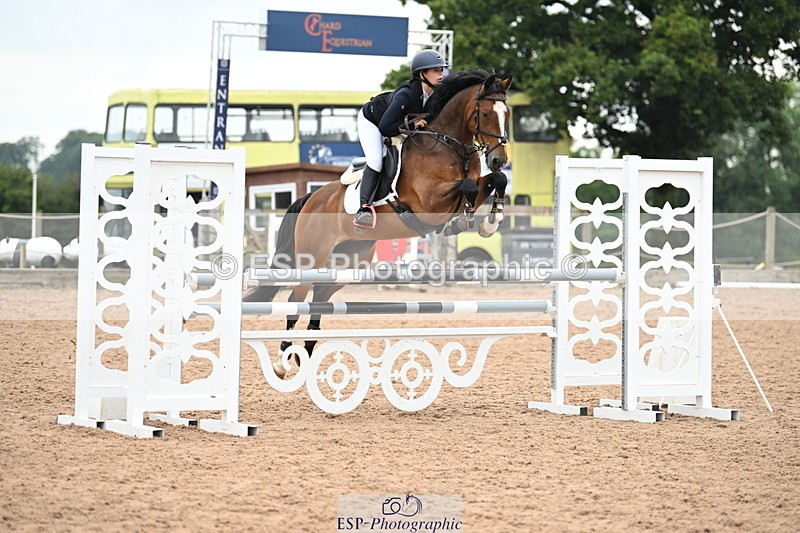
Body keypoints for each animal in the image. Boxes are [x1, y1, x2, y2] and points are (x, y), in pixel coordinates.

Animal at [244, 69, 513, 378]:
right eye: (485, 112)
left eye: (507, 113)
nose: (498, 159)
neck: (450, 145)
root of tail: (312, 198)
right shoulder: (429, 203)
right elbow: (467, 186)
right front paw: (463, 222)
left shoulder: (473, 185)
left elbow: (496, 180)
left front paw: (489, 222)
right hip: (310, 259)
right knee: (294, 301)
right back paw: (282, 361)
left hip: (347, 263)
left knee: (319, 298)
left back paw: (305, 355)